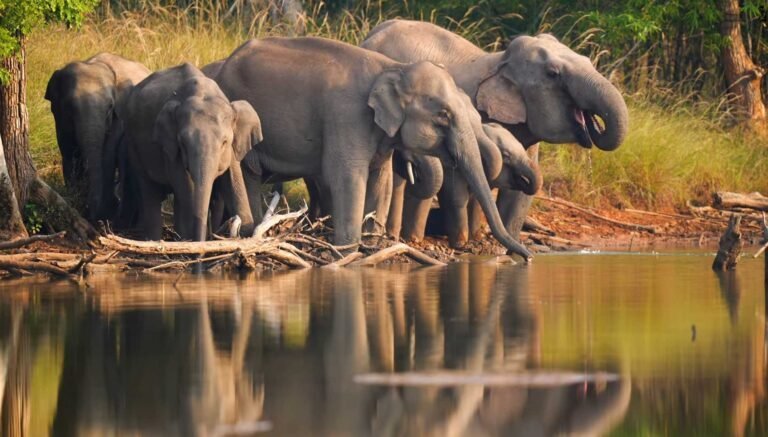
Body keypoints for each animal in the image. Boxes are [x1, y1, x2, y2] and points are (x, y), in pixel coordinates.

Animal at [45, 53, 150, 221]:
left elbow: (107, 154)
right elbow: (68, 151)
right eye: (69, 106)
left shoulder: (119, 116)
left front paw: (104, 212)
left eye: (110, 107)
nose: (90, 213)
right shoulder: (59, 117)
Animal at [118, 63, 262, 241]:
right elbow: (184, 186)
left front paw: (246, 229)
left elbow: (233, 181)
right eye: (183, 143)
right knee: (149, 191)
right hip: (133, 142)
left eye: (224, 142)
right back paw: (156, 239)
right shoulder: (170, 147)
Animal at [214, 36, 532, 259]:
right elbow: (348, 179)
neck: (392, 67)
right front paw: (346, 253)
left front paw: (374, 246)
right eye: (443, 115)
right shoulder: (346, 118)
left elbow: (382, 181)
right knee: (248, 175)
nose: (526, 257)